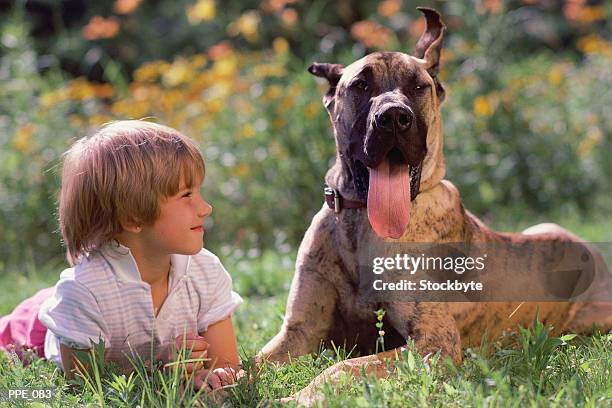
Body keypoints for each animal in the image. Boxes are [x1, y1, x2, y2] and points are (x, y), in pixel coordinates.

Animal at [260, 6, 612, 404]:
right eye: (361, 85)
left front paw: (297, 397)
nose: (393, 117)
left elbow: (345, 367)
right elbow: (248, 363)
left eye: (418, 86)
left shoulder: (434, 341)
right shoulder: (297, 331)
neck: (360, 224)